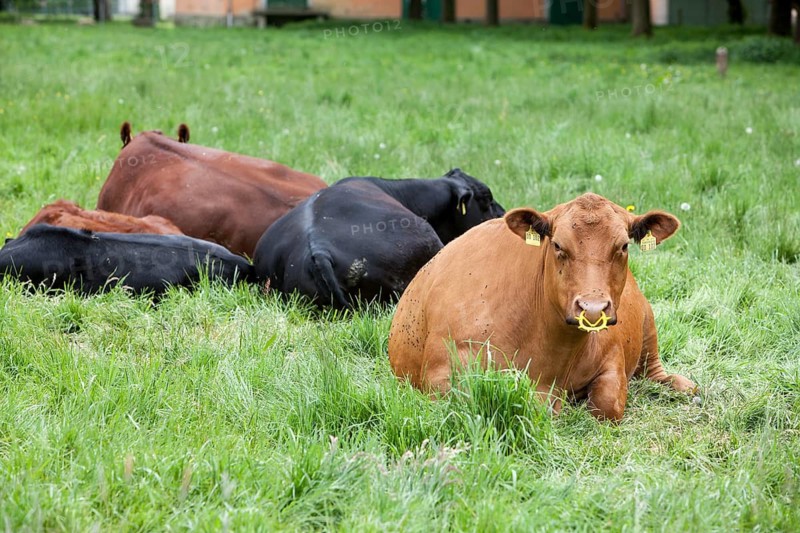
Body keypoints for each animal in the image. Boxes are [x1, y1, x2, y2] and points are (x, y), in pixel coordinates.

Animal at [388, 193, 696, 421]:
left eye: (622, 246)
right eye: (558, 245)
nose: (592, 309)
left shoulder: (612, 355)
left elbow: (607, 405)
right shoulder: (442, 372)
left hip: (647, 323)